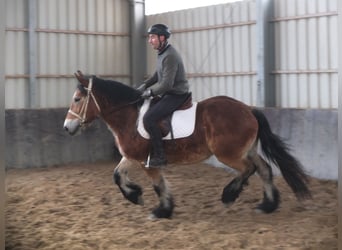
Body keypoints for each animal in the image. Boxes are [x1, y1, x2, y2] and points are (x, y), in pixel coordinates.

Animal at [62, 70, 312, 219]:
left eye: (77, 99)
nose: (67, 128)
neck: (129, 117)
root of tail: (248, 110)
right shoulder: (132, 157)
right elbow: (117, 175)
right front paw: (137, 196)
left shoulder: (146, 161)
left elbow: (158, 185)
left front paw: (161, 210)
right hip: (246, 150)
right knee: (264, 170)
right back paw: (267, 205)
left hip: (228, 154)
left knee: (248, 170)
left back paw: (229, 196)